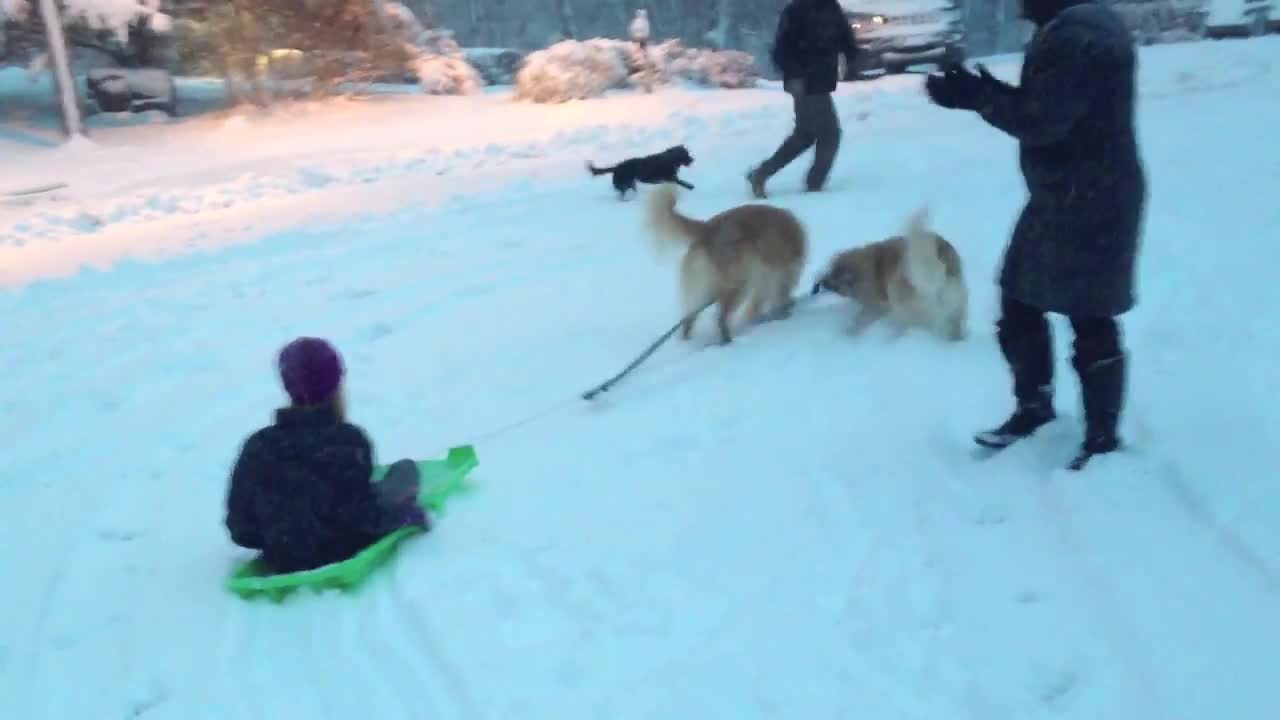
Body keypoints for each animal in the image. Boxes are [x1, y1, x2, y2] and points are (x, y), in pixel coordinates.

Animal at [645, 183, 803, 343]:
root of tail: (707, 228)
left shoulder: (765, 280)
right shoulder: (779, 274)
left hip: (703, 289)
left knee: (689, 320)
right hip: (738, 283)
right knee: (721, 318)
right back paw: (727, 340)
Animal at [814, 206, 962, 340]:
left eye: (833, 276)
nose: (820, 282)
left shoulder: (875, 306)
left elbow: (861, 320)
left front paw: (849, 334)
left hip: (902, 303)